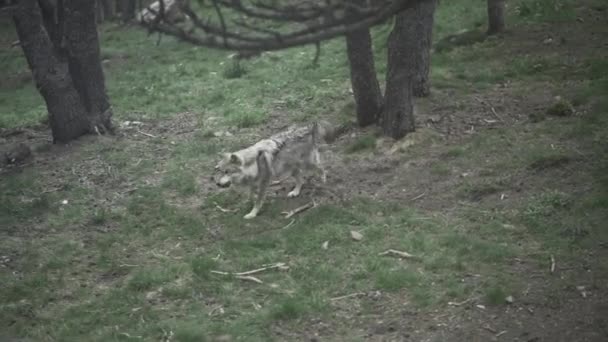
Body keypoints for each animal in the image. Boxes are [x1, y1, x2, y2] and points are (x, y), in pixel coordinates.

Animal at [213, 121, 342, 219]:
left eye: (227, 172)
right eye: (220, 171)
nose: (217, 184)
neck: (254, 163)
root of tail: (309, 129)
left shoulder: (264, 183)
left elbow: (258, 201)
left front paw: (252, 214)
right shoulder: (253, 183)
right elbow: (250, 195)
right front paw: (247, 203)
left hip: (307, 164)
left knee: (321, 168)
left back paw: (323, 180)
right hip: (292, 169)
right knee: (300, 180)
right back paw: (295, 192)